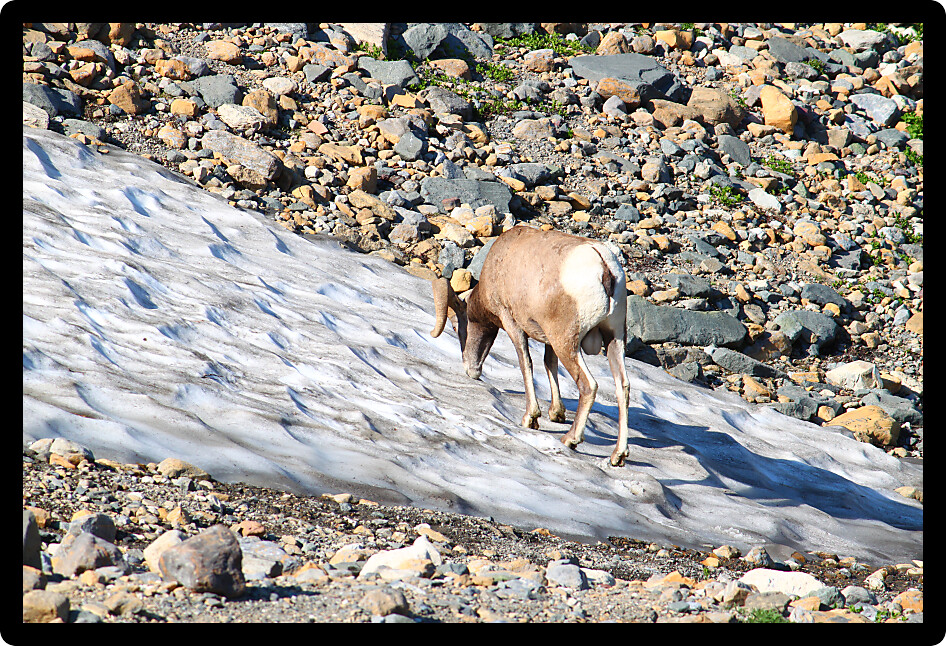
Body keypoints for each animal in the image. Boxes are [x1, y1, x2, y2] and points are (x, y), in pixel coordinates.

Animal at [430, 225, 631, 467]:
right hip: (614, 338)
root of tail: (604, 267)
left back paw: (570, 439)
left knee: (588, 385)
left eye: (453, 326)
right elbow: (549, 364)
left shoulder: (513, 324)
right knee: (623, 387)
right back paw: (618, 455)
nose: (471, 370)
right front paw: (556, 413)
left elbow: (526, 364)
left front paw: (530, 418)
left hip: (567, 342)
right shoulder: (548, 340)